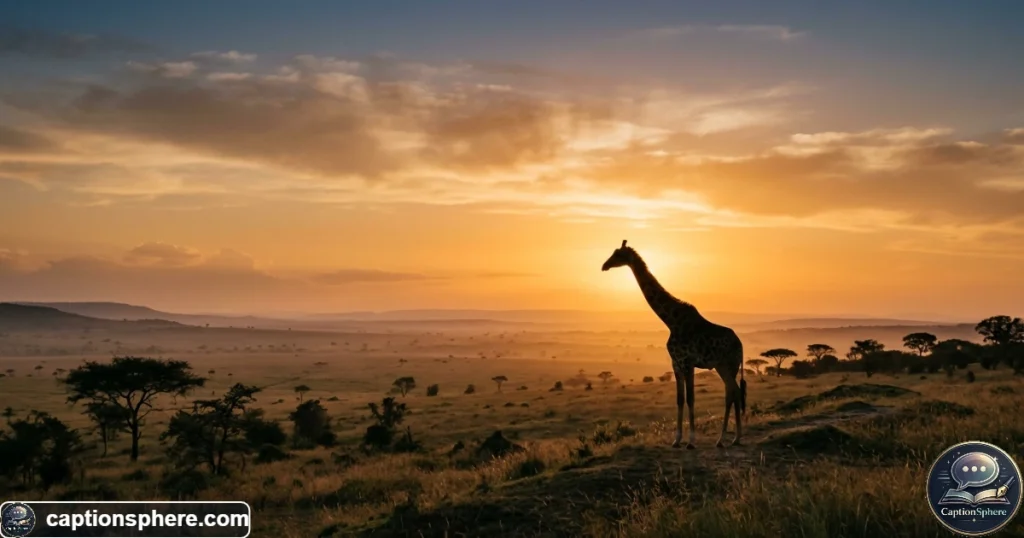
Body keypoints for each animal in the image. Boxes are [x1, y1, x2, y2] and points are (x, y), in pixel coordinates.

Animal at [602, 240, 747, 449]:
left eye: (618, 254)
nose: (604, 266)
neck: (671, 321)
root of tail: (741, 346)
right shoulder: (676, 363)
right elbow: (680, 399)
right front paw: (677, 440)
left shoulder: (687, 362)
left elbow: (690, 398)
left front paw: (691, 441)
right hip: (724, 367)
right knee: (733, 392)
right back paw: (731, 438)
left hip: (728, 364)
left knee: (733, 392)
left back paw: (727, 438)